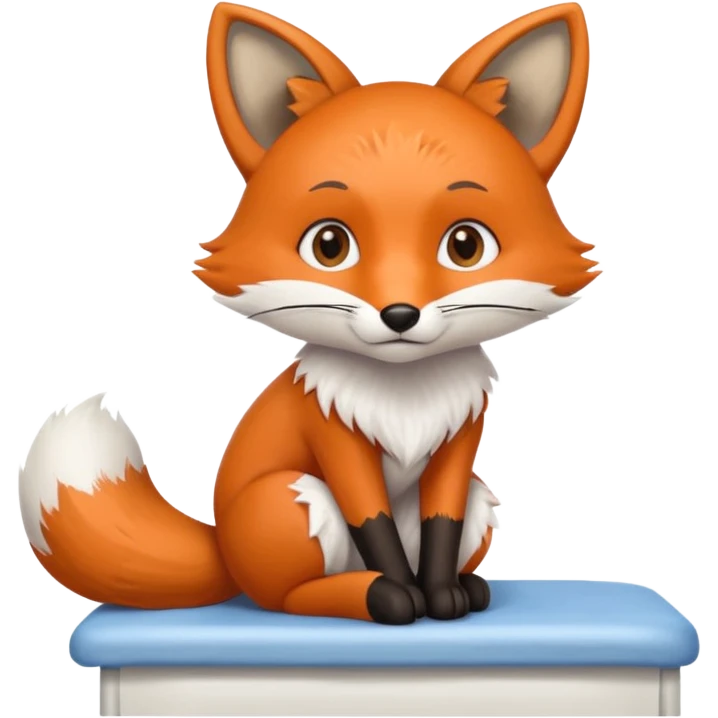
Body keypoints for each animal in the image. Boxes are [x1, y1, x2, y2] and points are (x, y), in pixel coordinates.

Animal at [17, 1, 599, 625]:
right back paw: (370, 594)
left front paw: (443, 594)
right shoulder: (333, 436)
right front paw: (405, 595)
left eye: (465, 246)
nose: (400, 314)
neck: (405, 396)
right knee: (288, 598)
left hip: (477, 491)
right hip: (290, 497)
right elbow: (373, 522)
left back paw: (463, 586)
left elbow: (442, 521)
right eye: (330, 245)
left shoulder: (459, 443)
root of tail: (225, 553)